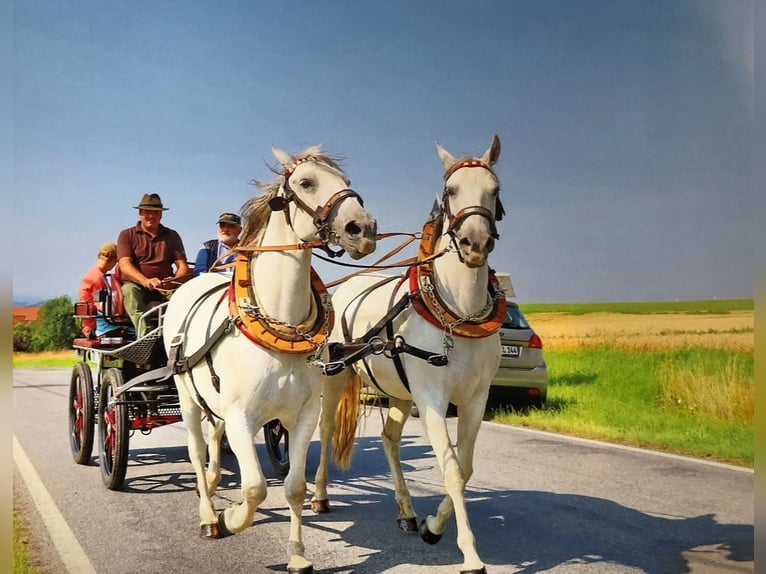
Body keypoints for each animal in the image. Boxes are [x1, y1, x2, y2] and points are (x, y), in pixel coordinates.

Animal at [165, 145, 378, 574]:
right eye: (306, 182)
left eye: (346, 182)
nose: (362, 229)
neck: (280, 323)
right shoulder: (241, 417)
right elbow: (255, 487)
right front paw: (231, 519)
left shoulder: (303, 417)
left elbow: (294, 487)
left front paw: (297, 555)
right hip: (186, 395)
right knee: (196, 449)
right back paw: (209, 515)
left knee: (213, 437)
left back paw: (211, 482)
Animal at [316, 136, 508, 574]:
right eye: (451, 191)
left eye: (495, 190)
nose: (475, 243)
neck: (458, 313)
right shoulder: (433, 400)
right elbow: (451, 470)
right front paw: (469, 553)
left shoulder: (475, 399)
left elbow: (466, 467)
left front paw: (432, 526)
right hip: (337, 373)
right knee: (325, 429)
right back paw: (318, 496)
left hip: (400, 391)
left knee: (389, 438)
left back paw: (405, 510)